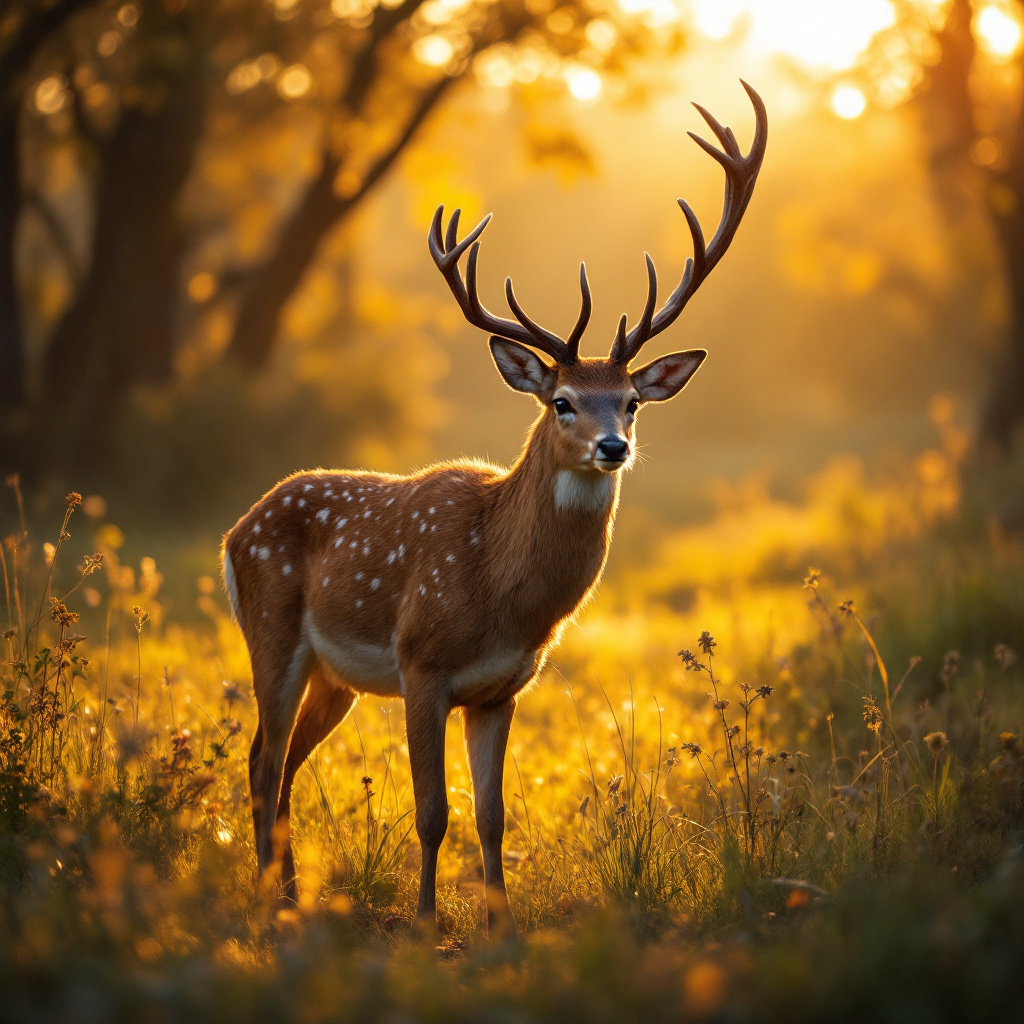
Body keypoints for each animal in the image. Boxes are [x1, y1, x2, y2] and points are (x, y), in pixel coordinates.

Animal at [221, 81, 766, 934]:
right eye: (563, 400)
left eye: (633, 401)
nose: (613, 446)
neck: (497, 592)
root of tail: (237, 529)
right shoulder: (421, 663)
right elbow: (432, 811)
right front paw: (425, 919)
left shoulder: (501, 689)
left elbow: (492, 815)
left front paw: (499, 923)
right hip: (271, 633)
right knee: (260, 758)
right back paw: (269, 904)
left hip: (336, 678)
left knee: (285, 765)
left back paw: (287, 895)